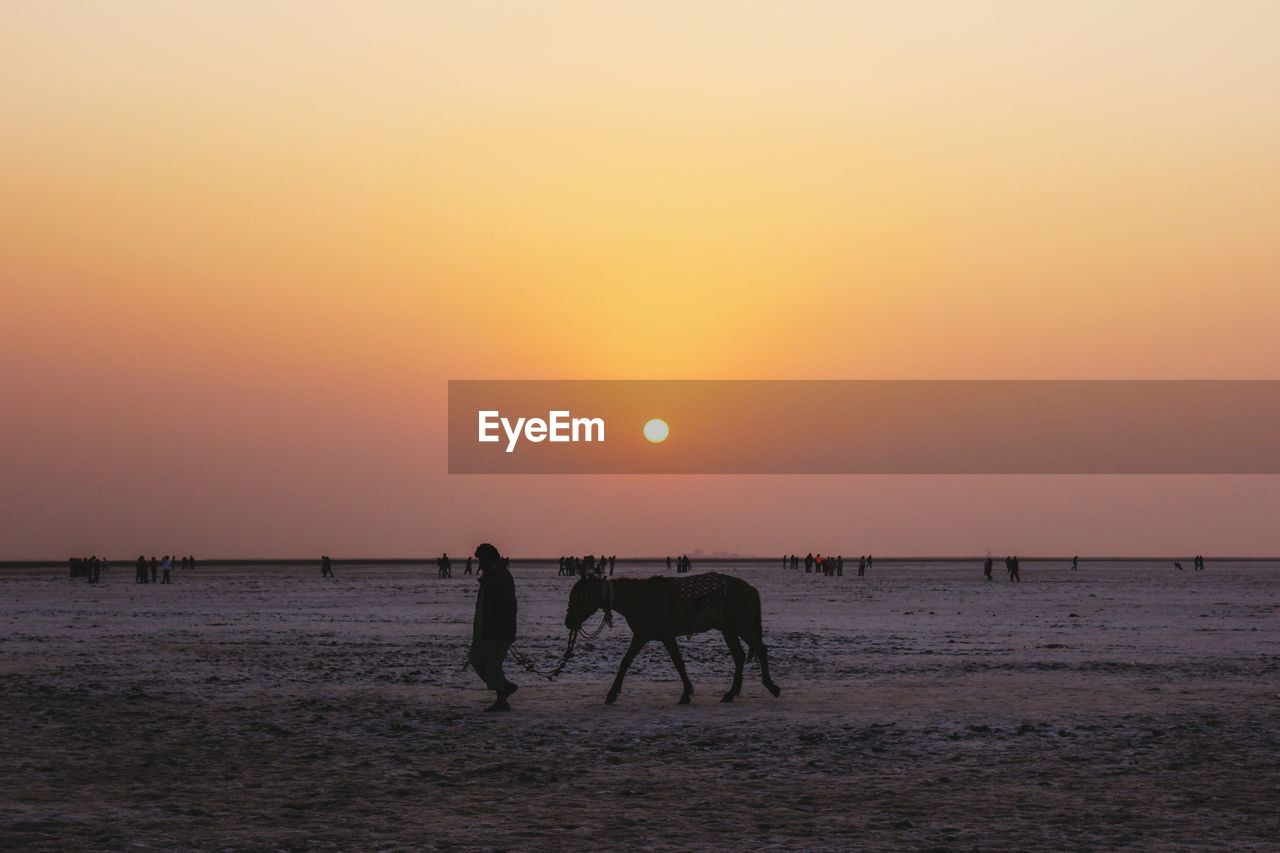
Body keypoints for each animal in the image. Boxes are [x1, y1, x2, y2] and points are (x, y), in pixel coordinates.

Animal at [568, 571, 778, 701]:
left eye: (580, 596)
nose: (568, 622)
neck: (640, 599)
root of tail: (751, 589)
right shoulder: (641, 636)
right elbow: (626, 661)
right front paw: (612, 694)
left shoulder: (667, 636)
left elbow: (678, 662)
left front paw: (686, 694)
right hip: (729, 629)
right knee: (740, 656)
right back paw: (731, 693)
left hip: (742, 627)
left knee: (760, 649)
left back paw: (771, 686)